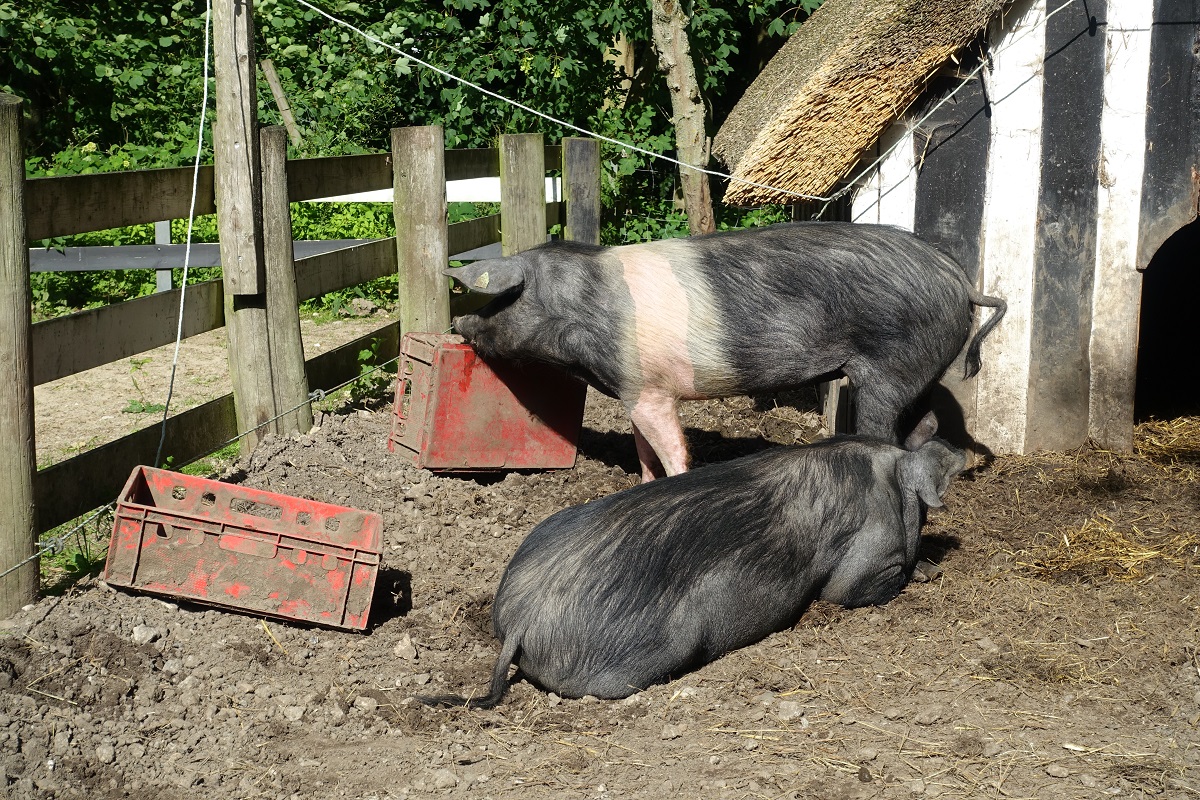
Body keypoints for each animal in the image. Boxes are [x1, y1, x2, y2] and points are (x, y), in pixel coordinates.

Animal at [420, 412, 964, 705]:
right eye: (921, 514)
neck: (888, 478)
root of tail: (521, 620)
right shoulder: (864, 563)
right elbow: (848, 590)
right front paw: (928, 570)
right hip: (654, 647)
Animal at [446, 220, 1008, 482]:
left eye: (502, 297)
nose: (458, 321)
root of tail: (963, 283)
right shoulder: (636, 390)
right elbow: (643, 452)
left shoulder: (652, 391)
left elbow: (673, 452)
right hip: (920, 370)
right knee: (926, 423)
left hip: (888, 367)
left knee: (884, 431)